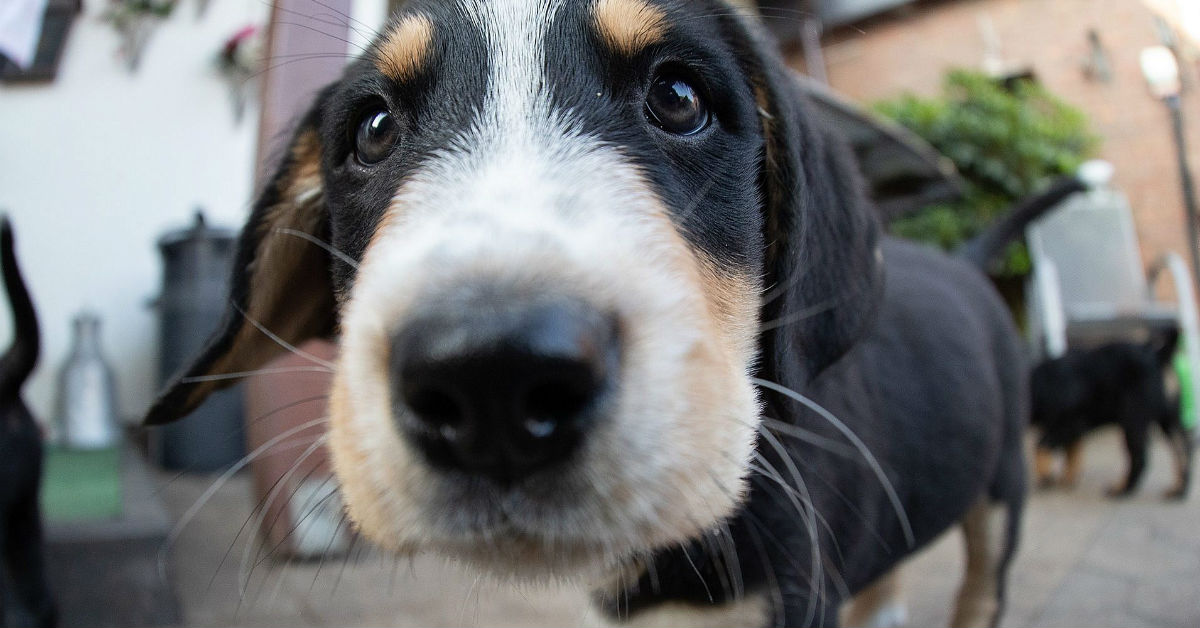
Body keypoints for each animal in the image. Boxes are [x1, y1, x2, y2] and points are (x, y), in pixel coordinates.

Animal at [1032, 329, 1190, 501]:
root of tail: (1156, 355)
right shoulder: (1073, 429)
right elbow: (1073, 452)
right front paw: (1067, 478)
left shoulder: (1068, 424)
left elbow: (1042, 445)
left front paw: (1045, 475)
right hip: (1166, 416)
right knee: (1181, 449)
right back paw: (1178, 489)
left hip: (1133, 418)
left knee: (1140, 457)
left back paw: (1122, 489)